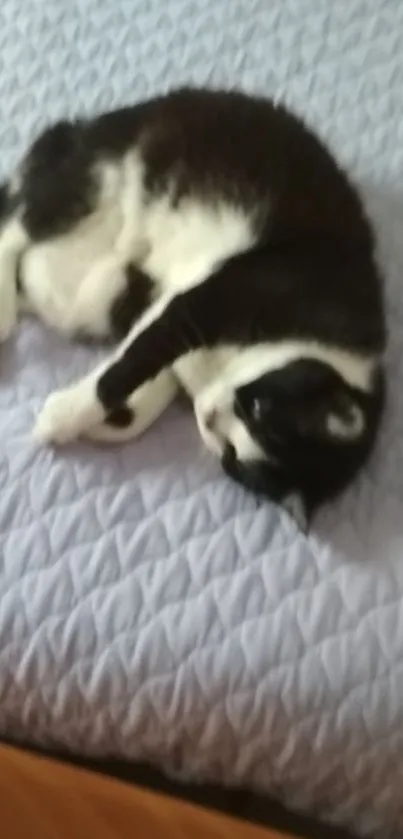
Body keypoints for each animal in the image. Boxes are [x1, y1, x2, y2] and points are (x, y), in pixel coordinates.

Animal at [0, 88, 386, 528]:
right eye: (257, 407)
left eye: (231, 456)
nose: (208, 416)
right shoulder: (220, 297)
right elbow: (128, 365)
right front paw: (62, 418)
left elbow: (145, 394)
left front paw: (104, 424)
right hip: (101, 175)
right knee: (18, 225)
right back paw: (4, 307)